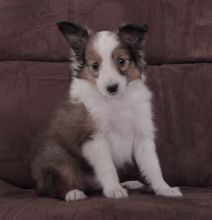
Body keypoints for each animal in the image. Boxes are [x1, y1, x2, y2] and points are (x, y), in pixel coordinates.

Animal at [31, 21, 182, 201]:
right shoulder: (94, 138)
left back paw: (129, 183)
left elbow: (153, 165)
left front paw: (164, 188)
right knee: (56, 182)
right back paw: (73, 192)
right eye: (95, 66)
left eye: (121, 61)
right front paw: (114, 189)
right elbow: (107, 166)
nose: (111, 88)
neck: (116, 101)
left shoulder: (142, 134)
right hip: (58, 156)